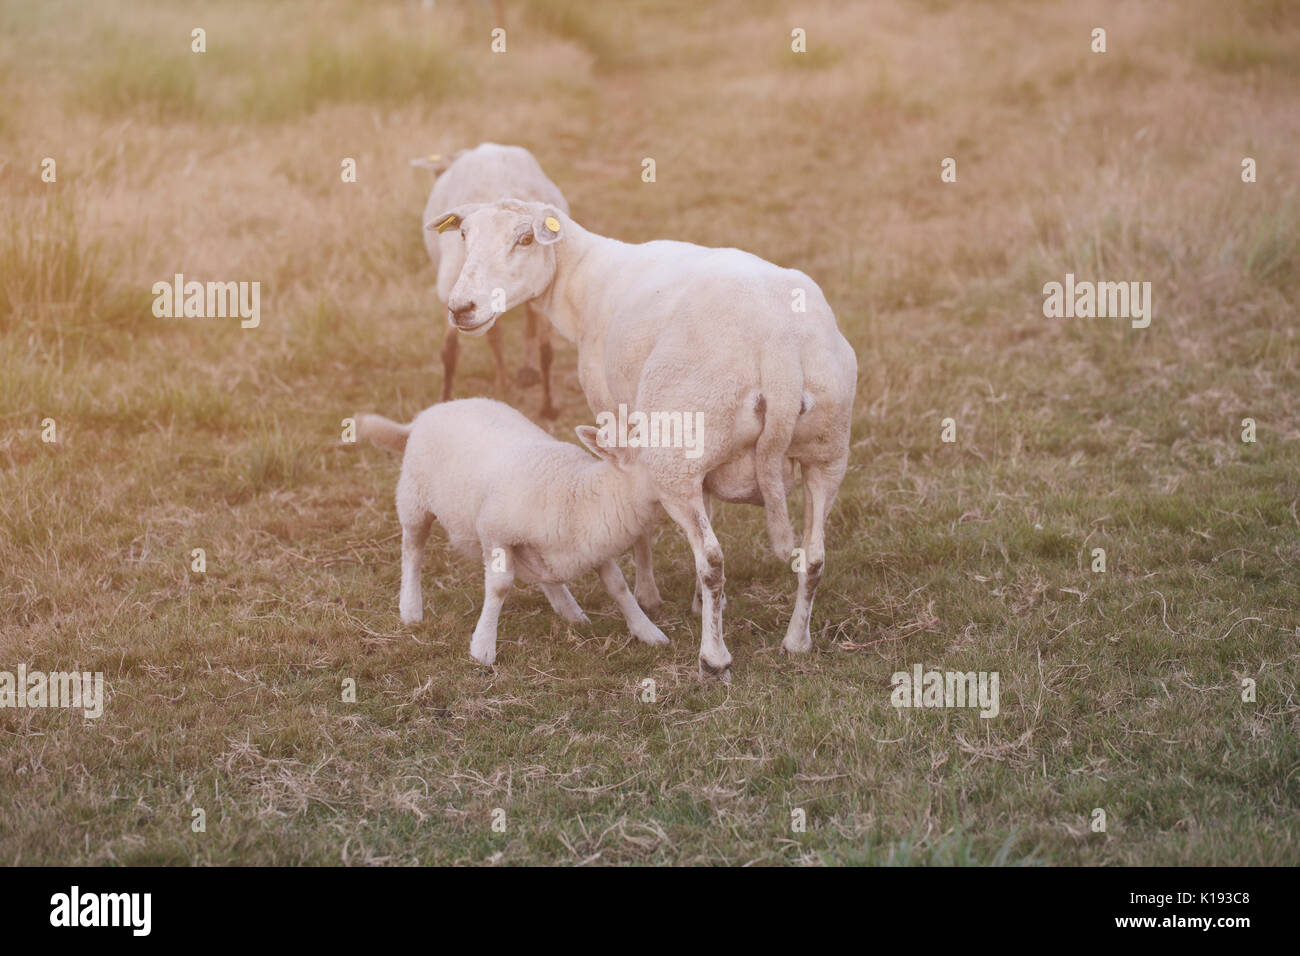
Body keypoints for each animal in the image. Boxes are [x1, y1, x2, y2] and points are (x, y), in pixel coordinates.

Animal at [355, 398, 669, 667]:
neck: (576, 493)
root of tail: (430, 412)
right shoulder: (495, 531)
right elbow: (500, 587)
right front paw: (483, 646)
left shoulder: (595, 547)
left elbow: (618, 585)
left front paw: (647, 631)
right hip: (413, 498)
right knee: (413, 550)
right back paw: (410, 608)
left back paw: (569, 609)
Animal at [412, 143, 570, 419]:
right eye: (463, 234)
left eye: (526, 239)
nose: (462, 309)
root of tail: (487, 148)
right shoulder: (454, 295)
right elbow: (451, 351)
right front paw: (445, 400)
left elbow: (546, 349)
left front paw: (548, 407)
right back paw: (507, 379)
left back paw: (525, 373)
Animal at [422, 199, 858, 682]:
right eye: (464, 236)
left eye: (526, 239)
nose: (461, 308)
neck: (584, 281)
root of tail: (778, 347)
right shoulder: (700, 457)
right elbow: (708, 506)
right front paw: (700, 604)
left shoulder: (618, 416)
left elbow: (639, 513)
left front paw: (649, 595)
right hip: (827, 450)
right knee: (813, 556)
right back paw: (796, 642)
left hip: (678, 447)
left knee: (713, 559)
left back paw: (713, 658)